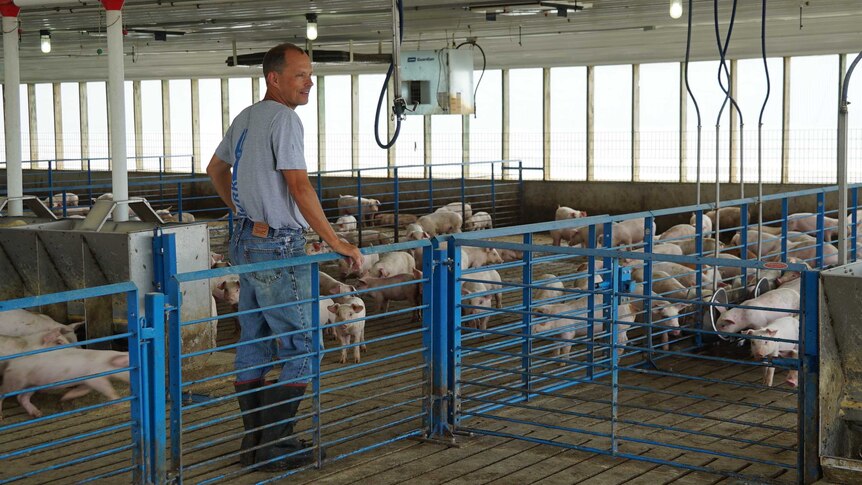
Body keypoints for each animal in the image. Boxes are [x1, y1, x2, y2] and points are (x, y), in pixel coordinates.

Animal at [0, 348, 130, 420]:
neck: (106, 362)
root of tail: (10, 363)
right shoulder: (95, 377)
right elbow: (108, 389)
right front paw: (120, 402)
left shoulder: (87, 381)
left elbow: (83, 390)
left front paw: (65, 397)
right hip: (15, 382)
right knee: (4, 393)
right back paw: (1, 417)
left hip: (32, 385)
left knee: (22, 397)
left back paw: (38, 414)